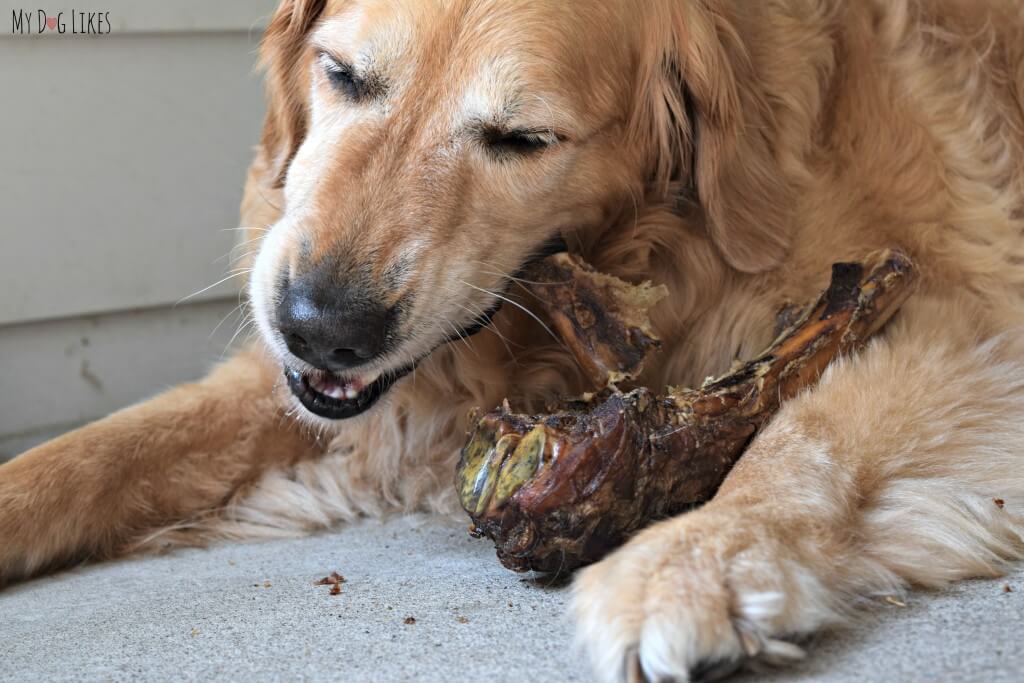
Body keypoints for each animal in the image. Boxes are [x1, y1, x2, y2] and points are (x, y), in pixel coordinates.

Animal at [2, 0, 1024, 679]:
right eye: (342, 74)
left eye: (522, 139)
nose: (321, 329)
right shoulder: (319, 389)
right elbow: (86, 455)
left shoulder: (964, 321)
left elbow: (805, 431)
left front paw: (692, 566)